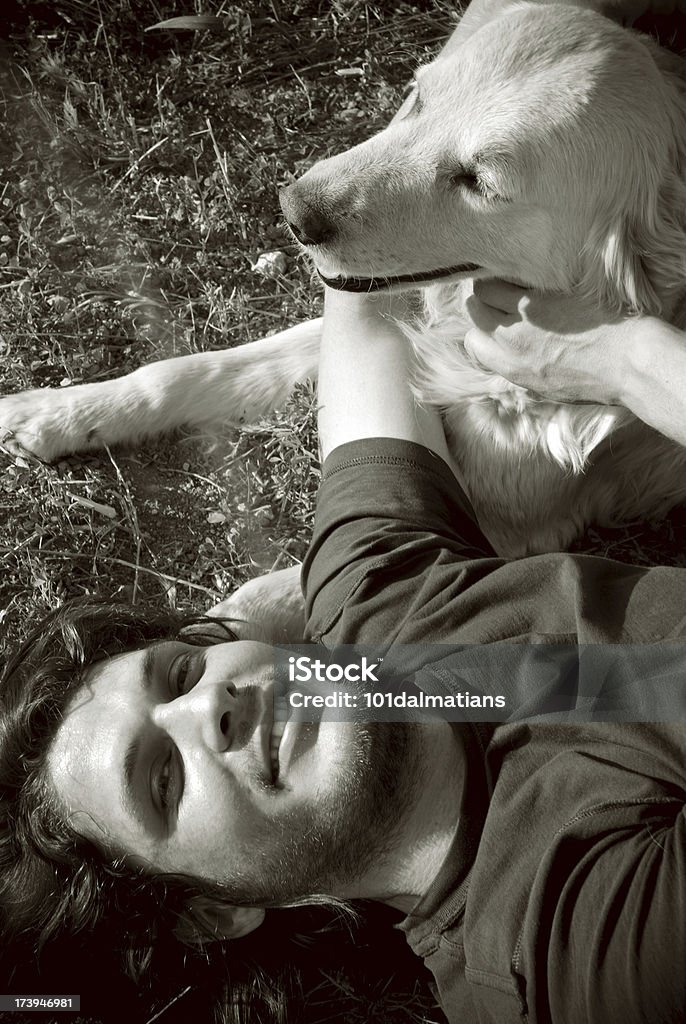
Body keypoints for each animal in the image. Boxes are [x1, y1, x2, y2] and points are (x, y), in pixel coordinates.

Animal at [1, 4, 686, 565]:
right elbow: (187, 370)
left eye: (481, 182)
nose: (293, 211)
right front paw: (60, 411)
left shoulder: (498, 528)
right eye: (417, 99)